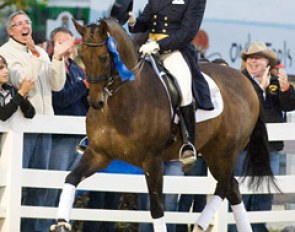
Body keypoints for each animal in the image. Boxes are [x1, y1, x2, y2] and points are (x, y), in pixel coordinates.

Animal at [50, 18, 280, 232]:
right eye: (82, 57)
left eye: (104, 57)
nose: (96, 102)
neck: (123, 101)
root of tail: (247, 82)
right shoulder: (99, 154)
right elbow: (71, 178)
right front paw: (61, 222)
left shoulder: (152, 161)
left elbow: (157, 207)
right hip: (214, 153)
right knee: (232, 188)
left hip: (225, 152)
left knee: (225, 185)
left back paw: (199, 224)